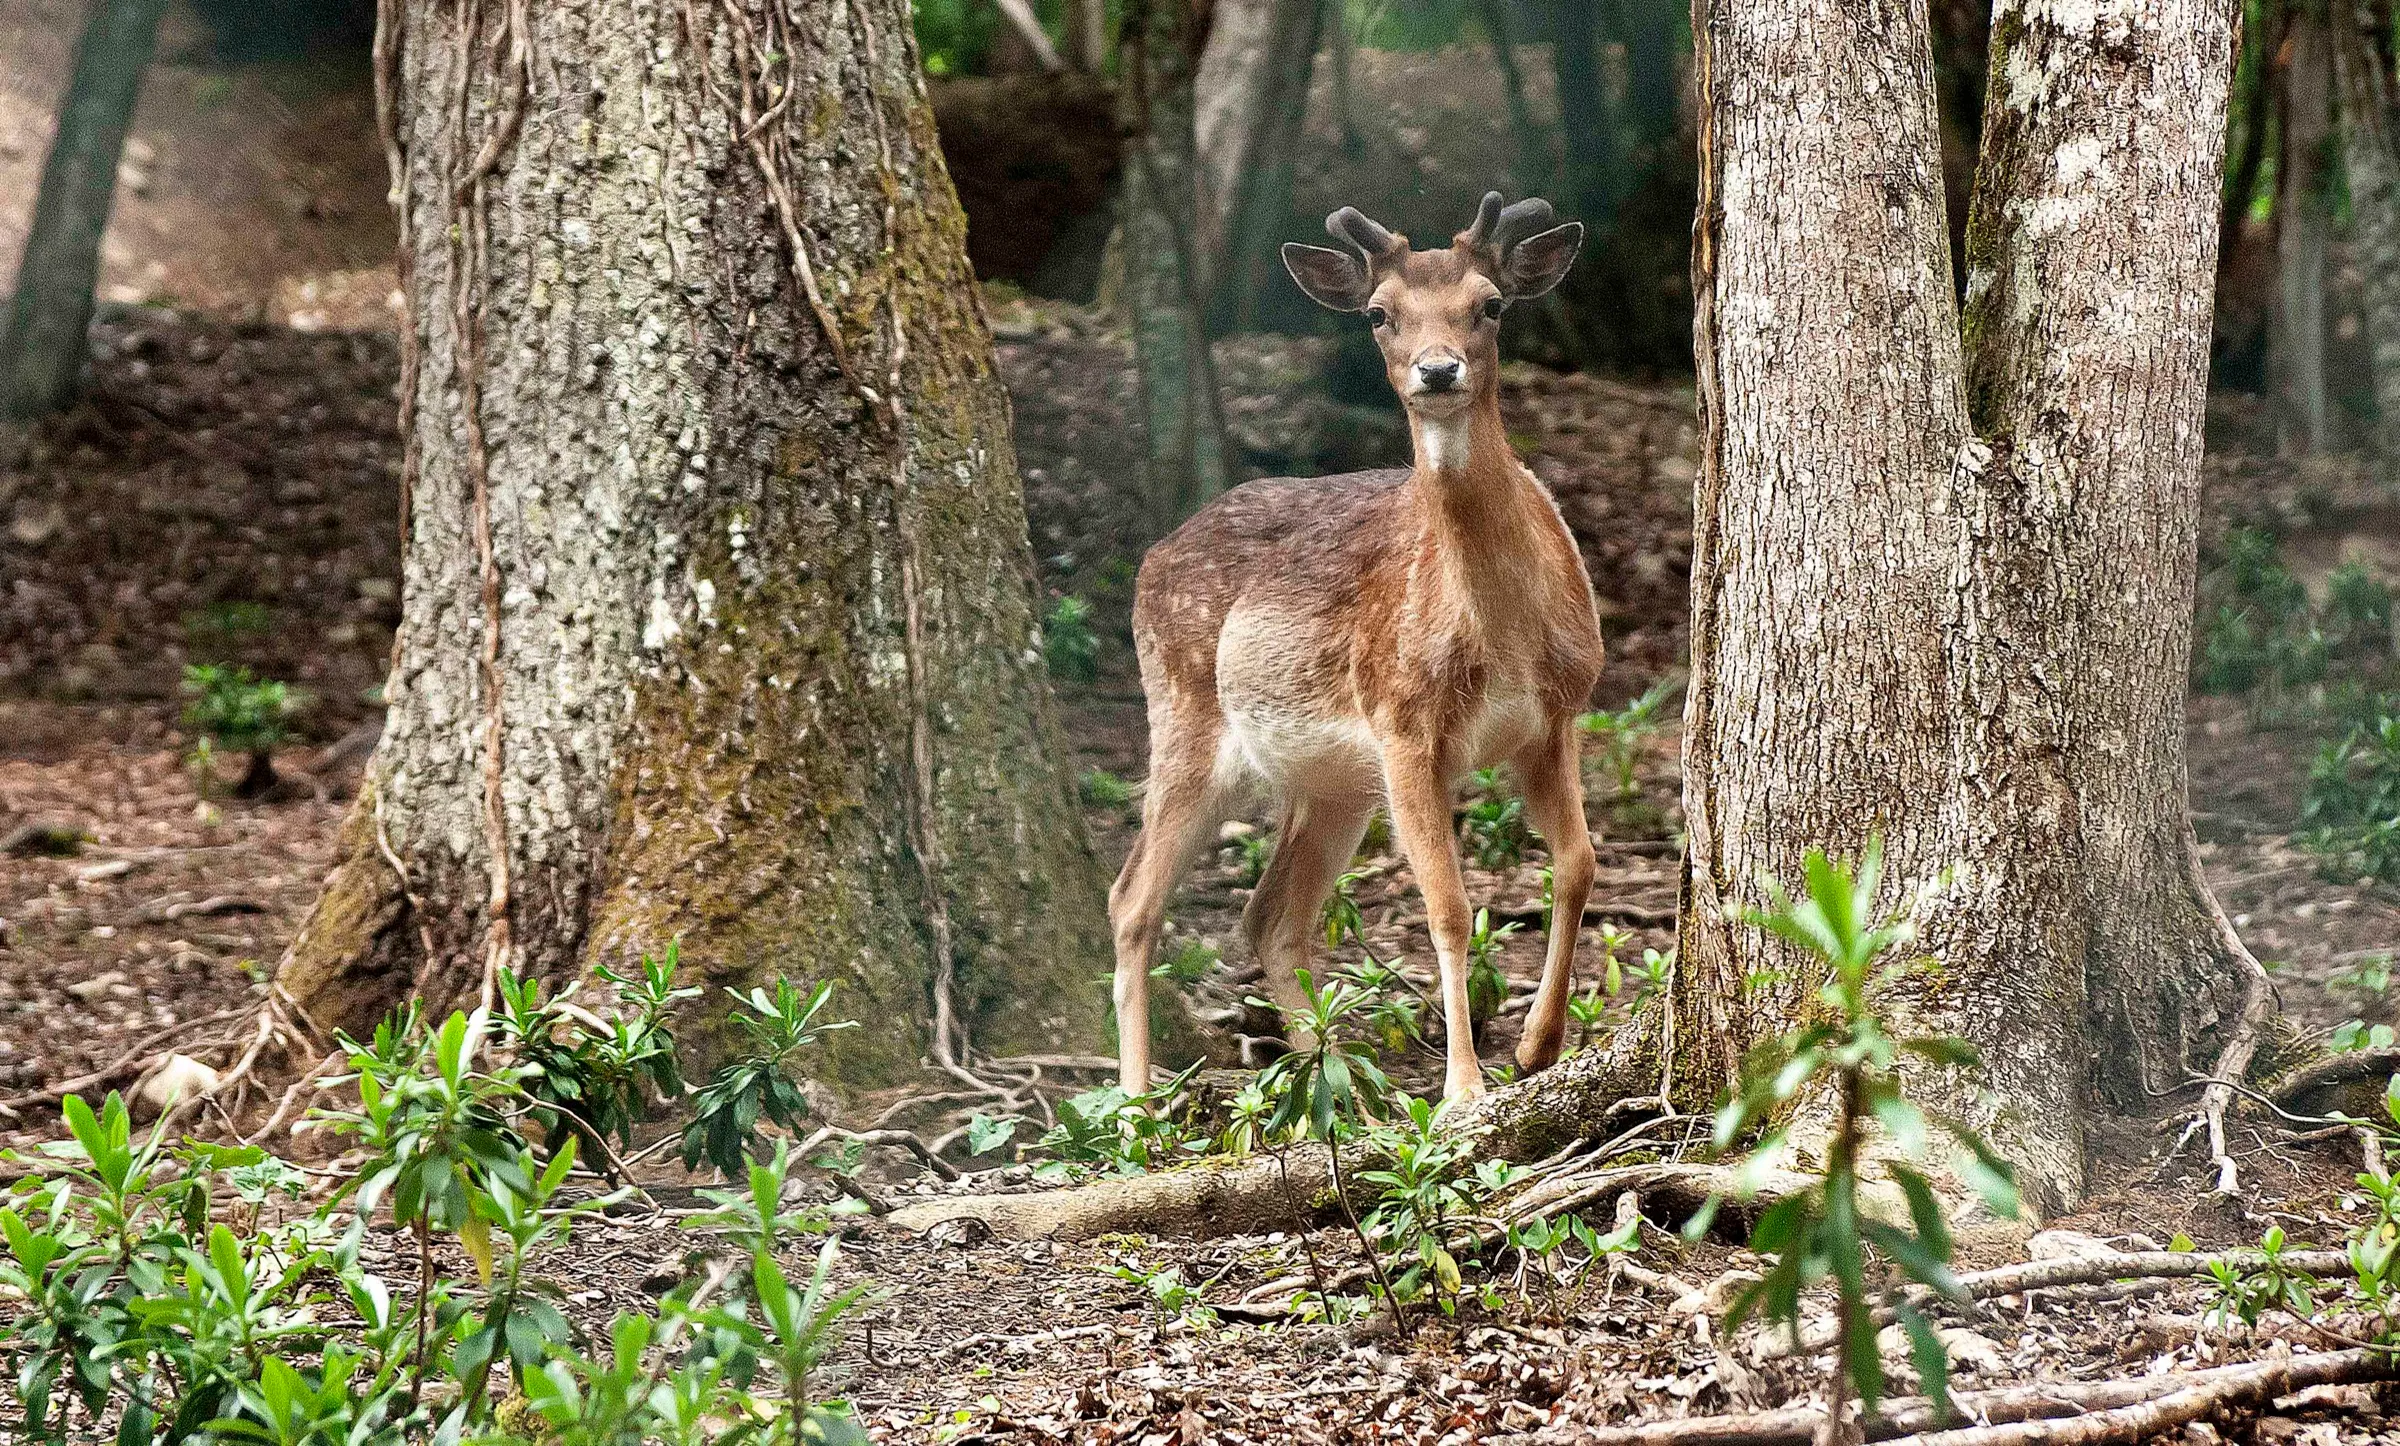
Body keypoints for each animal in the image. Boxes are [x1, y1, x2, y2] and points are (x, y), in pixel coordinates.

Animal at [1109, 191, 1603, 1105]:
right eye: (1380, 314)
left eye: (1492, 304)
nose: (1438, 371)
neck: (1505, 635)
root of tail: (1152, 558)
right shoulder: (1403, 720)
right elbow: (1449, 905)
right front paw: (1464, 1090)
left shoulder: (1558, 717)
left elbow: (1579, 862)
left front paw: (1536, 1047)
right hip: (1185, 715)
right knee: (1133, 901)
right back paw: (1134, 1104)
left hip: (1334, 783)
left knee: (1269, 915)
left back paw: (1349, 1098)